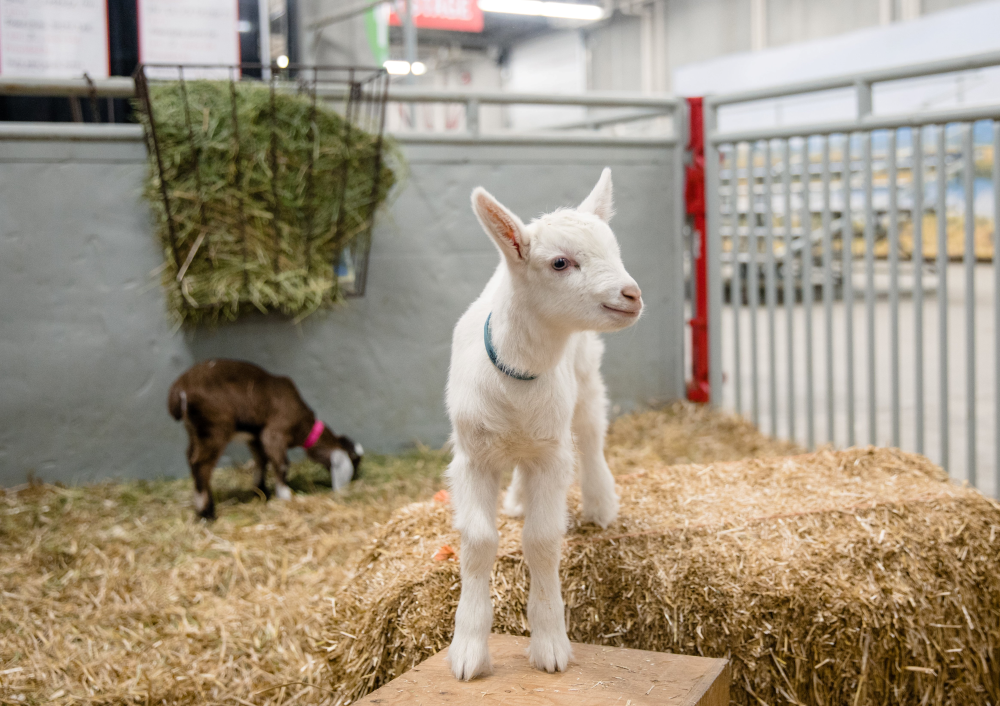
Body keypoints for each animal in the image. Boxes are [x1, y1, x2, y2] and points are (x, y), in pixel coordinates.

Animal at [168, 359, 363, 520]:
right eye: (354, 461)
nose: (354, 480)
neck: (302, 424)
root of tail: (180, 390)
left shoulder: (256, 437)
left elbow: (261, 460)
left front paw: (261, 492)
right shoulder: (274, 433)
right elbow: (282, 464)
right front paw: (285, 494)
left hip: (194, 430)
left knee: (191, 458)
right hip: (214, 427)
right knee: (201, 465)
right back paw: (206, 512)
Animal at [445, 169, 642, 680]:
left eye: (616, 250)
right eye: (560, 263)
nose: (631, 295)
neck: (518, 373)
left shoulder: (553, 456)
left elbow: (541, 540)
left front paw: (550, 645)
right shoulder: (472, 456)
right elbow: (478, 541)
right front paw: (468, 650)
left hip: (585, 380)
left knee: (591, 435)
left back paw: (599, 504)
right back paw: (516, 499)